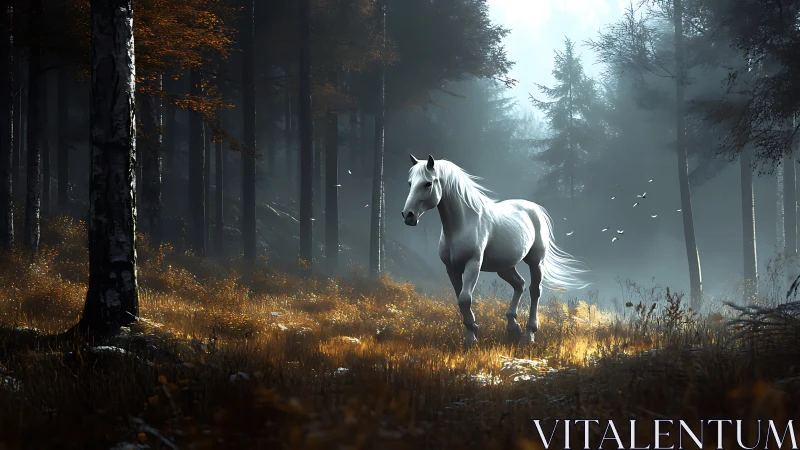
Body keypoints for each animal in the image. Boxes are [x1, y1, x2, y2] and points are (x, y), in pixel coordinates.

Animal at [401, 154, 588, 349]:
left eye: (428, 183)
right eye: (410, 183)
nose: (408, 215)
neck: (464, 223)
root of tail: (535, 210)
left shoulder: (473, 264)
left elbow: (465, 299)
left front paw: (472, 338)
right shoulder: (451, 268)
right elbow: (460, 300)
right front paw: (472, 332)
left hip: (536, 262)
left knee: (534, 290)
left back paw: (528, 334)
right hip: (504, 267)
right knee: (519, 284)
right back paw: (513, 328)